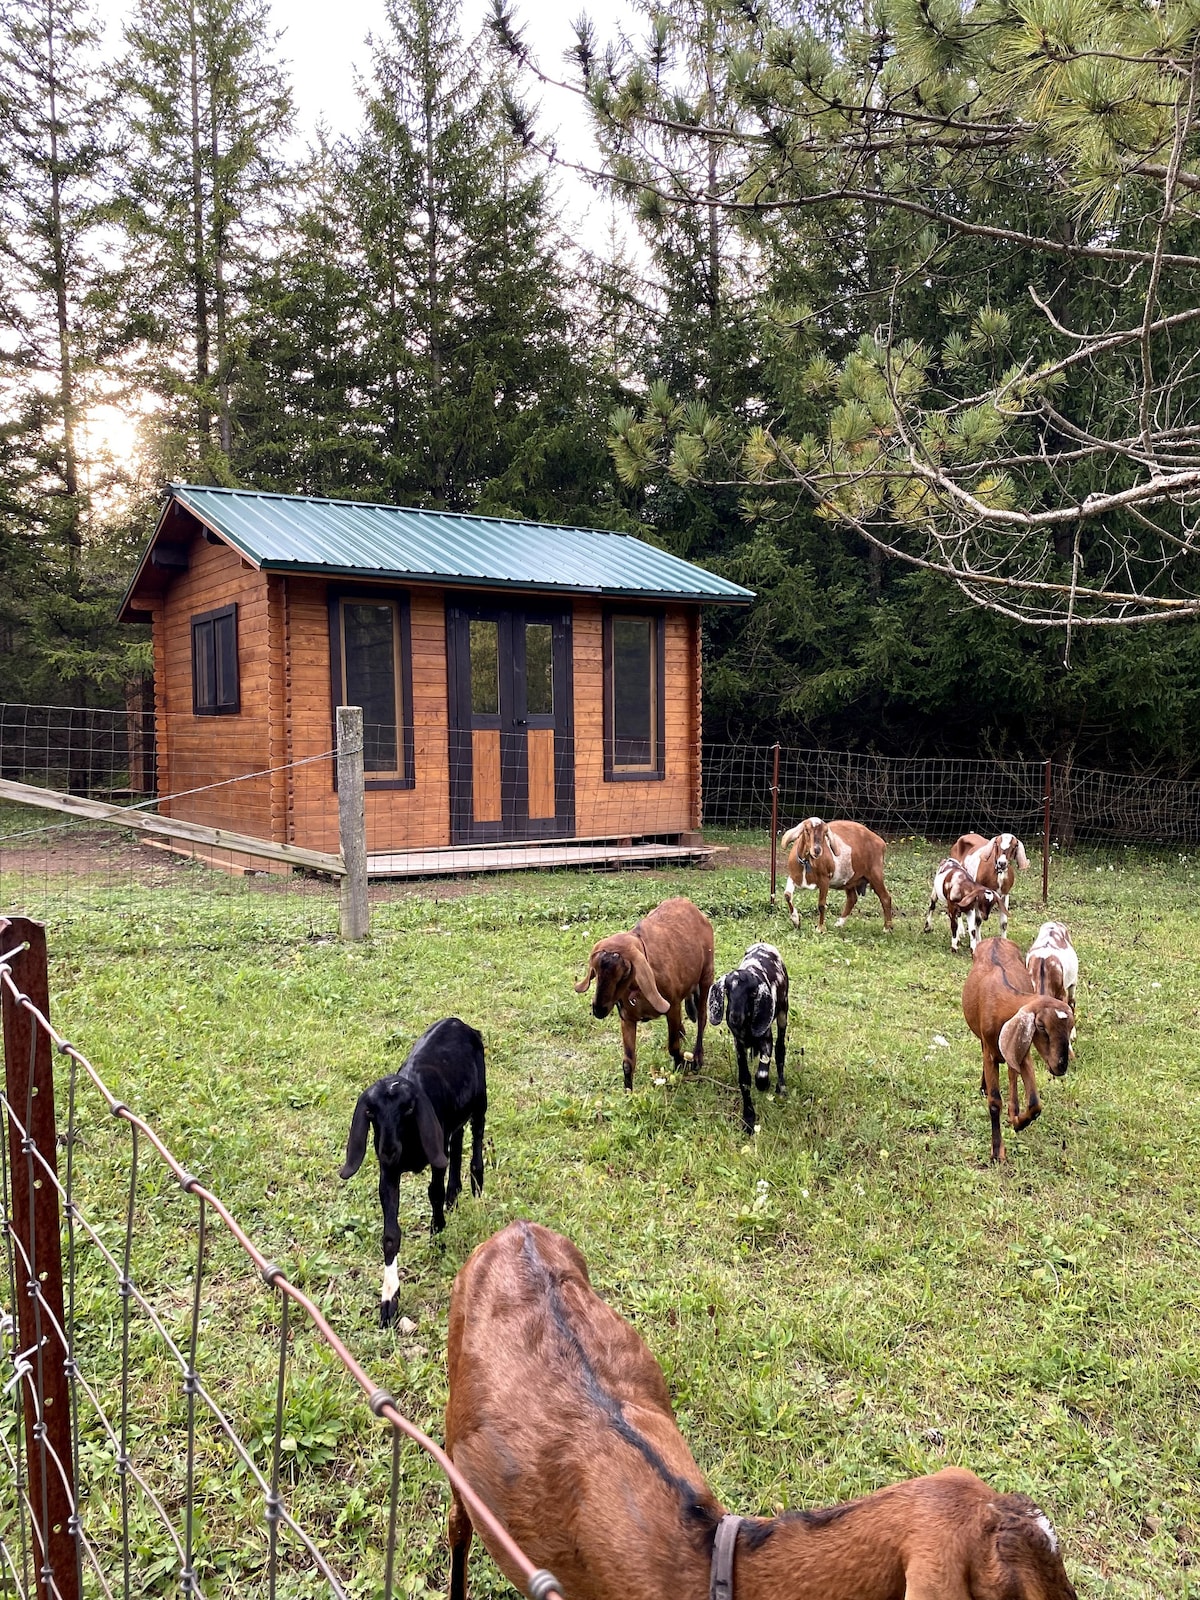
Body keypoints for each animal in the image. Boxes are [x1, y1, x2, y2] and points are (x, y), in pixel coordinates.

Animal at [339, 1024, 489, 1324]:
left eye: (408, 1109)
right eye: (370, 1112)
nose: (388, 1149)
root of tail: (459, 1023)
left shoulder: (435, 1154)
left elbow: (434, 1193)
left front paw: (437, 1236)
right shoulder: (389, 1173)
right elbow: (390, 1235)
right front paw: (389, 1299)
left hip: (480, 1100)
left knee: (476, 1135)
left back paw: (476, 1185)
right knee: (458, 1140)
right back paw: (454, 1195)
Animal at [576, 896, 713, 1094]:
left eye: (624, 972)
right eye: (595, 971)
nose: (598, 1010)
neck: (637, 992)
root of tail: (687, 902)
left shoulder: (672, 1006)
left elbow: (673, 1046)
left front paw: (681, 1065)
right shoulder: (627, 1017)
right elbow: (628, 1062)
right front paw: (628, 1093)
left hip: (707, 974)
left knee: (702, 1017)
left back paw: (697, 1056)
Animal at [710, 940, 793, 1132]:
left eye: (753, 993)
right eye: (727, 991)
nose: (734, 1017)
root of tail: (765, 944)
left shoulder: (766, 1038)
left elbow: (761, 1072)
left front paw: (764, 1084)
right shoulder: (738, 1044)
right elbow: (744, 1079)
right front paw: (748, 1119)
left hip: (783, 1012)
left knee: (780, 1050)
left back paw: (781, 1088)